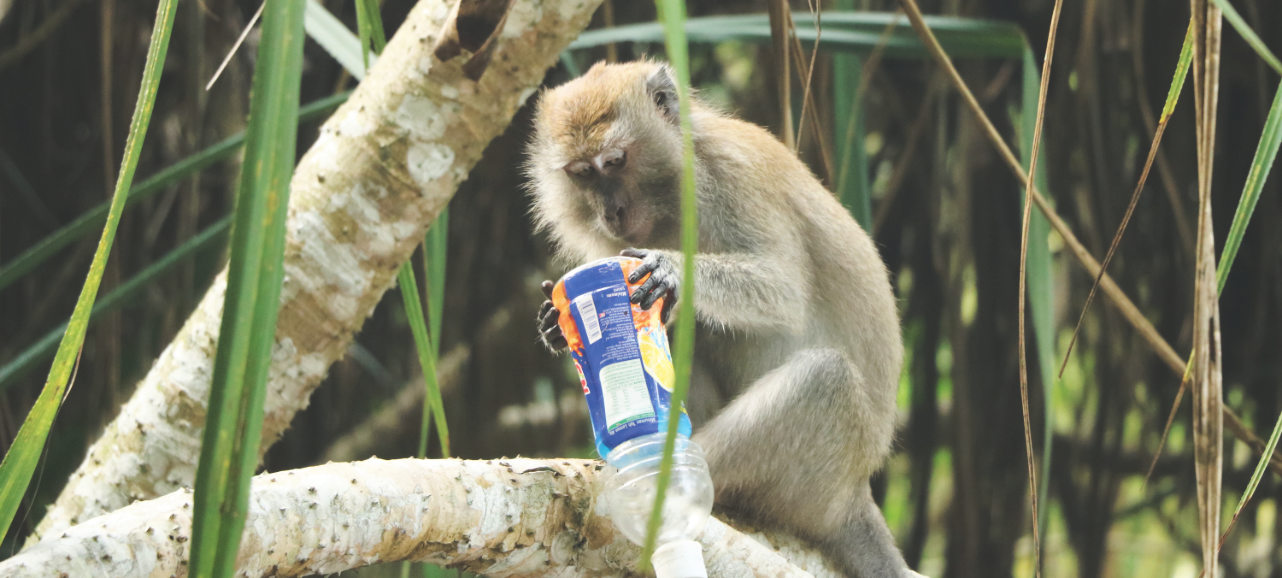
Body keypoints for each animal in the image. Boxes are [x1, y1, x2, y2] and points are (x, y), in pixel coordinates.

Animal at [525, 60, 917, 578]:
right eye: (581, 174)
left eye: (615, 162)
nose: (612, 212)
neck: (672, 192)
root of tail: (854, 494)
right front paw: (556, 322)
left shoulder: (730, 175)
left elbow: (783, 291)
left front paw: (670, 269)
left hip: (821, 479)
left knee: (824, 376)